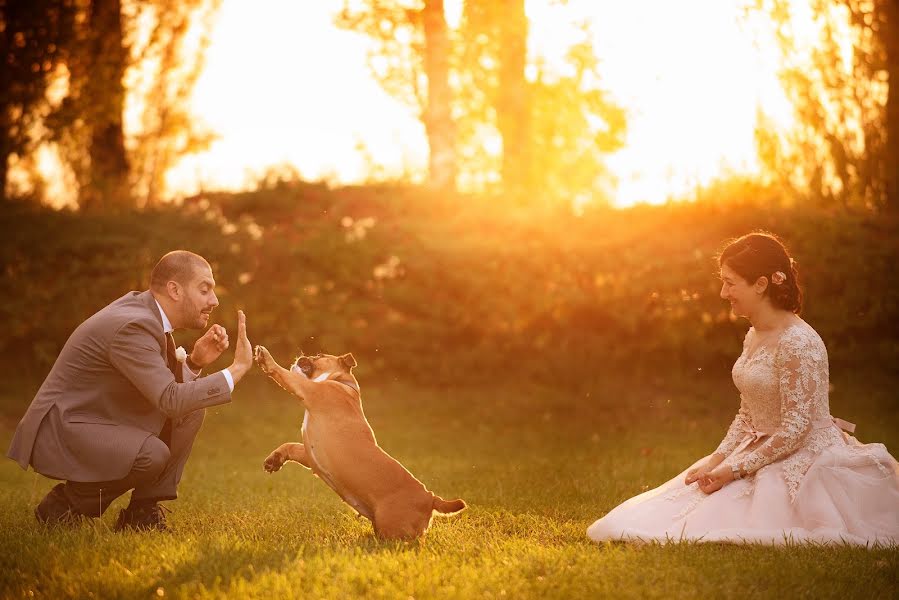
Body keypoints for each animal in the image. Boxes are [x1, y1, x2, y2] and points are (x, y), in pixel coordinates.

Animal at [251, 344, 464, 540]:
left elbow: (283, 374)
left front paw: (265, 358)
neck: (340, 381)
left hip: (394, 526)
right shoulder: (308, 455)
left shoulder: (307, 389)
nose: (302, 356)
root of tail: (430, 497)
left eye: (319, 355)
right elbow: (291, 446)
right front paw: (275, 459)